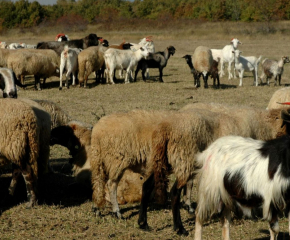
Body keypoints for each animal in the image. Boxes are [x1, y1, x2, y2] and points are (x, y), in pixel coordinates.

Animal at [137, 102, 290, 235]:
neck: (264, 126)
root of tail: (164, 130)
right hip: (183, 159)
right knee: (174, 193)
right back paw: (179, 228)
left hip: (161, 160)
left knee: (146, 185)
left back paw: (143, 223)